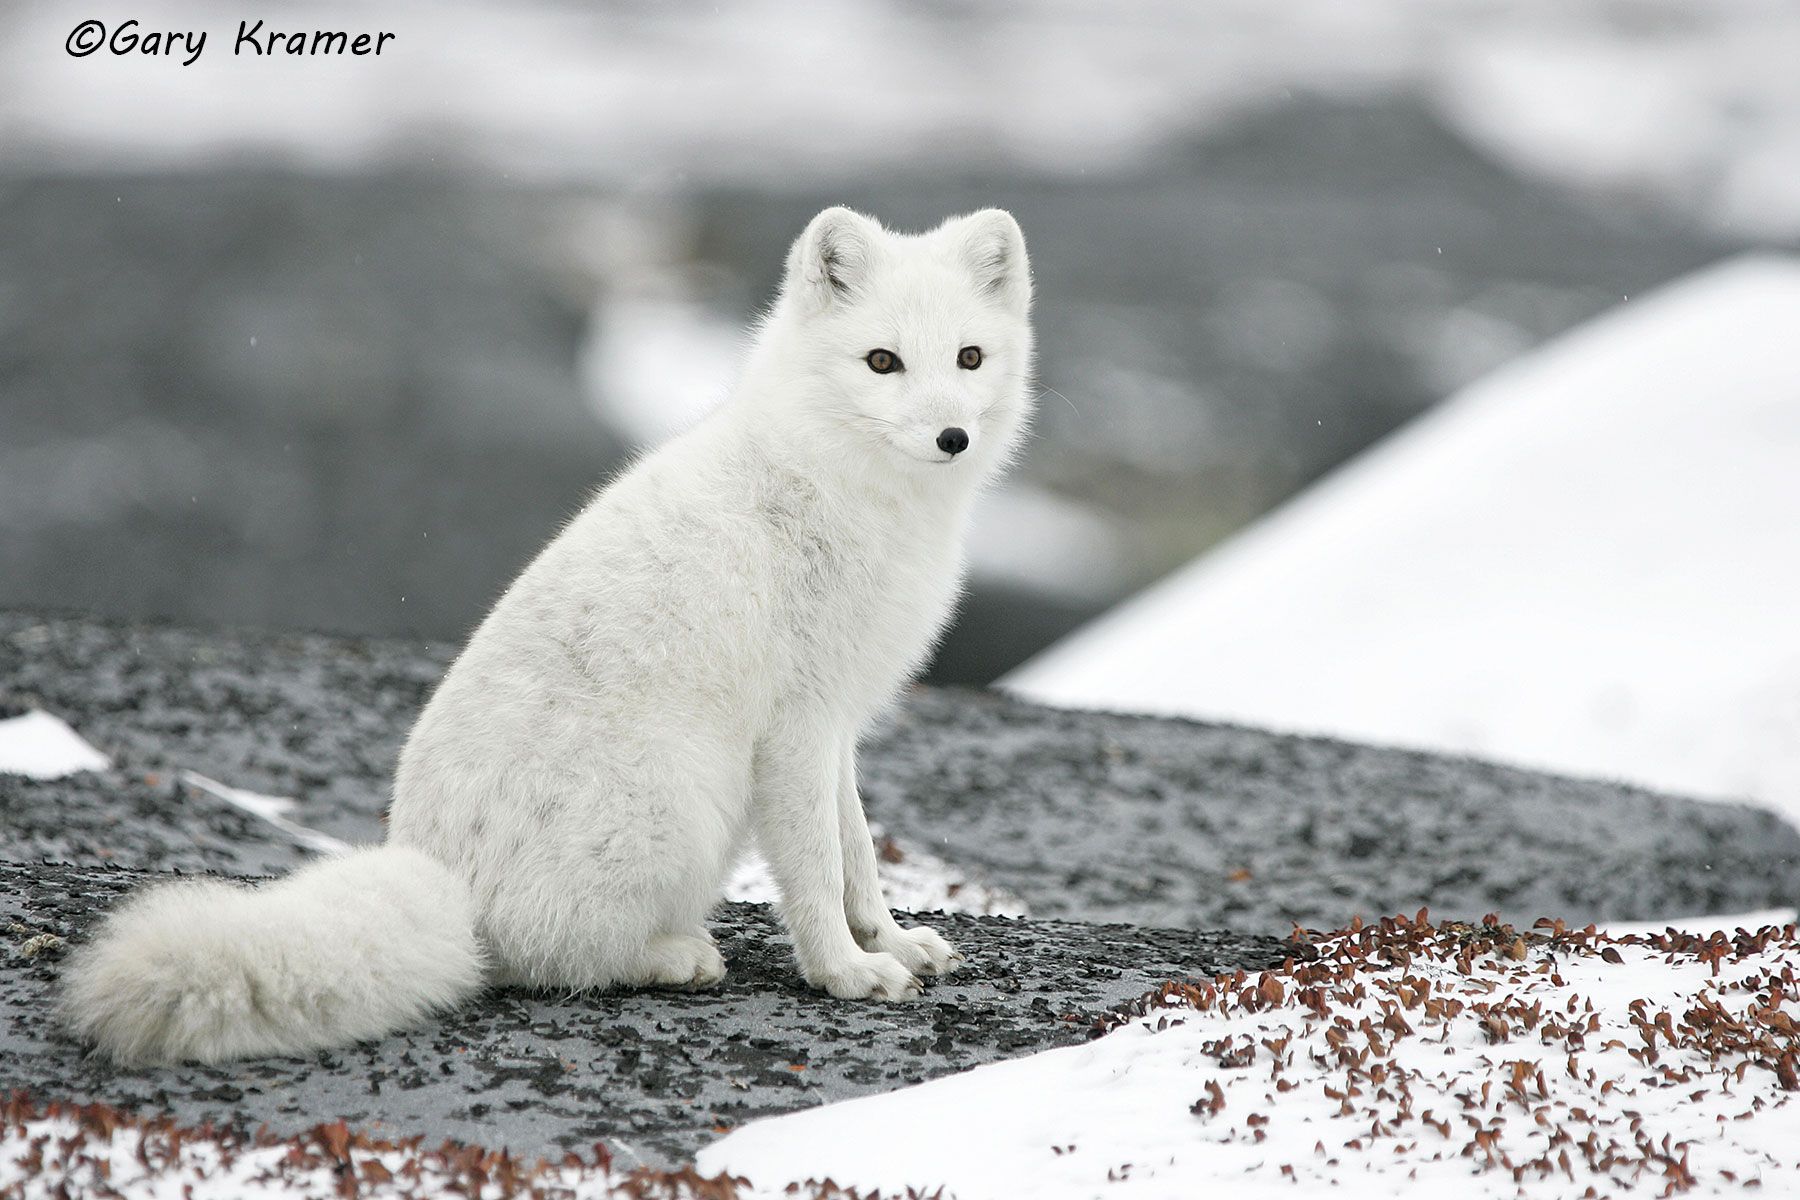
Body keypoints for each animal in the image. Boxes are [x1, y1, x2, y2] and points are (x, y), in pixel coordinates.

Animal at [61, 206, 1036, 1064]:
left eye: (969, 357)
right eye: (882, 361)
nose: (952, 435)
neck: (844, 489)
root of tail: (446, 884)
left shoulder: (838, 723)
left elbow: (859, 853)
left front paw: (893, 941)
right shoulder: (796, 726)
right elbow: (816, 868)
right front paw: (843, 971)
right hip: (689, 801)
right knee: (545, 959)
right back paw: (676, 956)